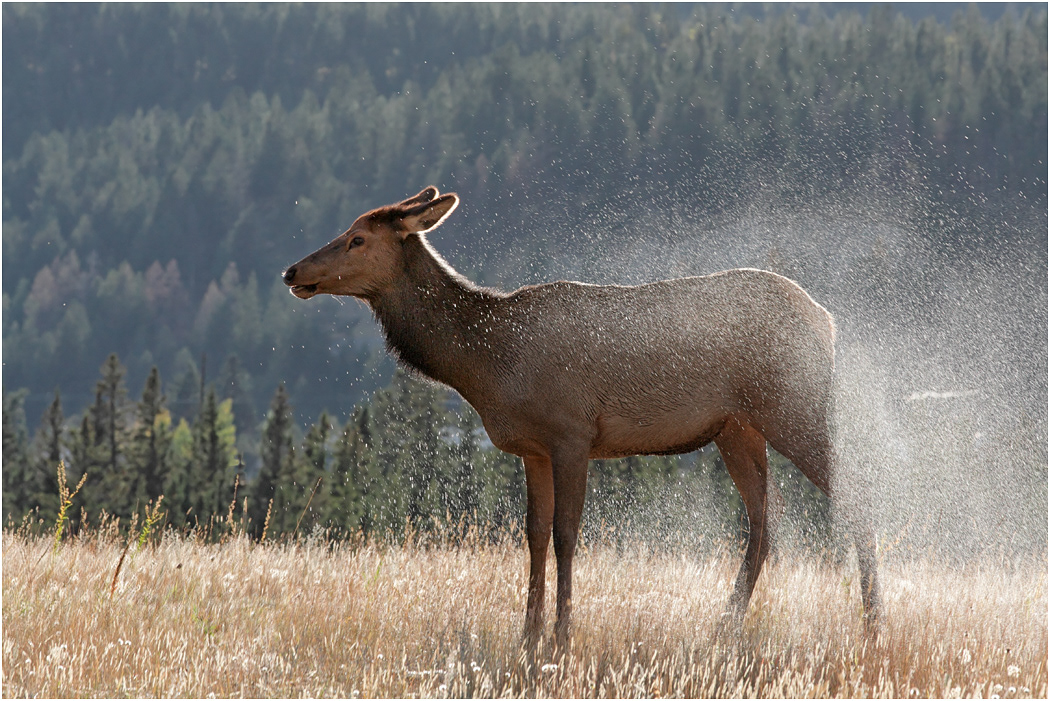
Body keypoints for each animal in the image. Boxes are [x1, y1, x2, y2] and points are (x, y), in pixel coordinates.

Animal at [282, 186, 881, 646]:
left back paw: (874, 624)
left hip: (794, 404)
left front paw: (562, 635)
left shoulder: (571, 433)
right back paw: (723, 627)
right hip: (737, 428)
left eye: (358, 238)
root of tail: (827, 320)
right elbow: (533, 535)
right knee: (762, 524)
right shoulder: (531, 448)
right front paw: (526, 634)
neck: (487, 368)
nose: (292, 270)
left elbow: (567, 534)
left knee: (854, 495)